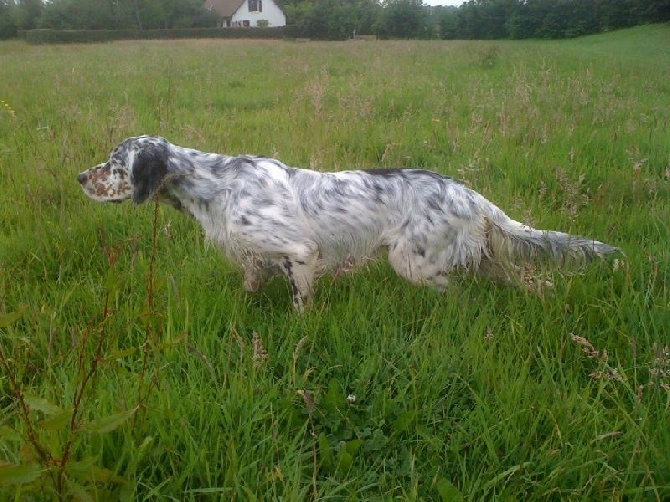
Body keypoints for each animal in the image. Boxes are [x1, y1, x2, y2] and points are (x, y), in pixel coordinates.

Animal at [77, 135, 620, 312]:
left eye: (114, 164)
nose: (81, 177)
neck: (214, 183)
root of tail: (469, 192)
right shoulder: (256, 259)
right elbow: (249, 286)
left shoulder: (299, 253)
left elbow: (301, 306)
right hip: (481, 256)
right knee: (526, 277)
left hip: (412, 262)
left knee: (457, 294)